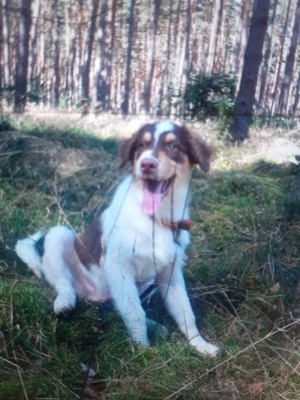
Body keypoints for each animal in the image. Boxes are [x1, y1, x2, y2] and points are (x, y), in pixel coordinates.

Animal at [15, 121, 219, 356]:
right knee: (64, 284)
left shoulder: (170, 271)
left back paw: (154, 325)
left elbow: (185, 310)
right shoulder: (118, 267)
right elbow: (134, 313)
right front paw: (142, 350)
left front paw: (199, 344)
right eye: (141, 145)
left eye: (173, 146)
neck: (154, 219)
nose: (147, 165)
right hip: (61, 236)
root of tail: (94, 295)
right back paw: (64, 303)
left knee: (117, 306)